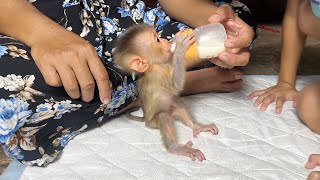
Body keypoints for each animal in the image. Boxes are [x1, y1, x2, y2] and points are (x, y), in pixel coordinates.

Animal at [114, 24, 219, 162]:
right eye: (157, 40)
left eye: (159, 36)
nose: (165, 40)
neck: (156, 66)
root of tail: (146, 119)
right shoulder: (157, 75)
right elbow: (175, 86)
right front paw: (180, 49)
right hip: (154, 122)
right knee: (164, 117)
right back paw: (175, 148)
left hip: (171, 109)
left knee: (177, 102)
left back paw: (197, 126)